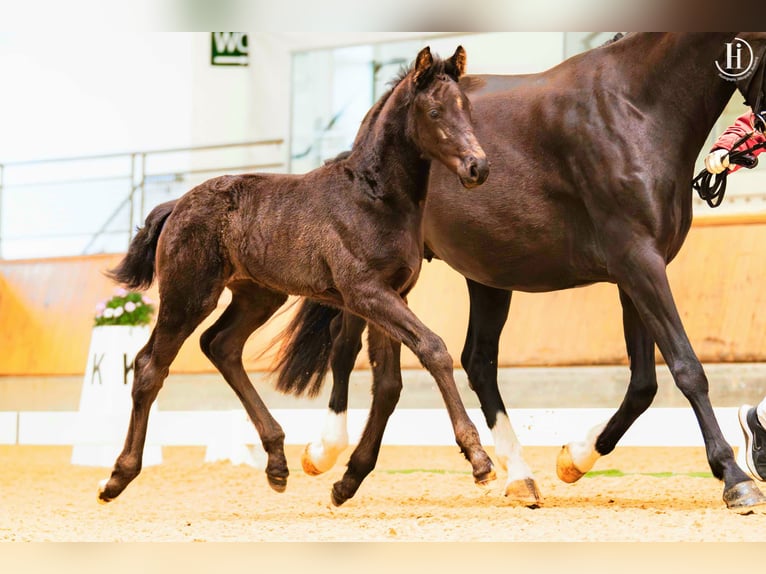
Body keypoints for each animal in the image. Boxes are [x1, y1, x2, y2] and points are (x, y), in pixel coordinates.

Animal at [95, 45, 495, 505]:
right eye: (434, 111)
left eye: (467, 108)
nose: (478, 167)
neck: (373, 196)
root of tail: (176, 204)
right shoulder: (366, 293)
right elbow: (433, 349)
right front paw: (479, 459)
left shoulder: (394, 293)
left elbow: (389, 384)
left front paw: (347, 481)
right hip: (189, 295)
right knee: (149, 366)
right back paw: (117, 477)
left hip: (258, 296)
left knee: (221, 345)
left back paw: (277, 462)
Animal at [275, 33, 766, 511]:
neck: (635, 108)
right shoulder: (638, 262)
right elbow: (687, 368)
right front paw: (735, 478)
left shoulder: (639, 269)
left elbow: (644, 383)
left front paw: (575, 459)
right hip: (385, 281)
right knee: (348, 348)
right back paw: (324, 453)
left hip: (484, 277)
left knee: (463, 364)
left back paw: (512, 476)